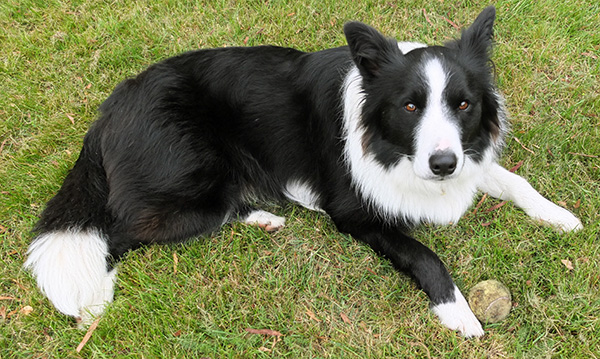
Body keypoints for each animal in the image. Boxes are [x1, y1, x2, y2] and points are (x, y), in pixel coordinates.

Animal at [24, 7, 580, 338]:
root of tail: (109, 110)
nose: (442, 164)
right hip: (193, 181)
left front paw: (558, 216)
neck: (388, 146)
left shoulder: (467, 156)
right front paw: (457, 312)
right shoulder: (355, 213)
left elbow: (515, 181)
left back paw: (262, 218)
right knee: (119, 232)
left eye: (463, 104)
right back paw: (94, 303)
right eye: (410, 106)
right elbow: (424, 255)